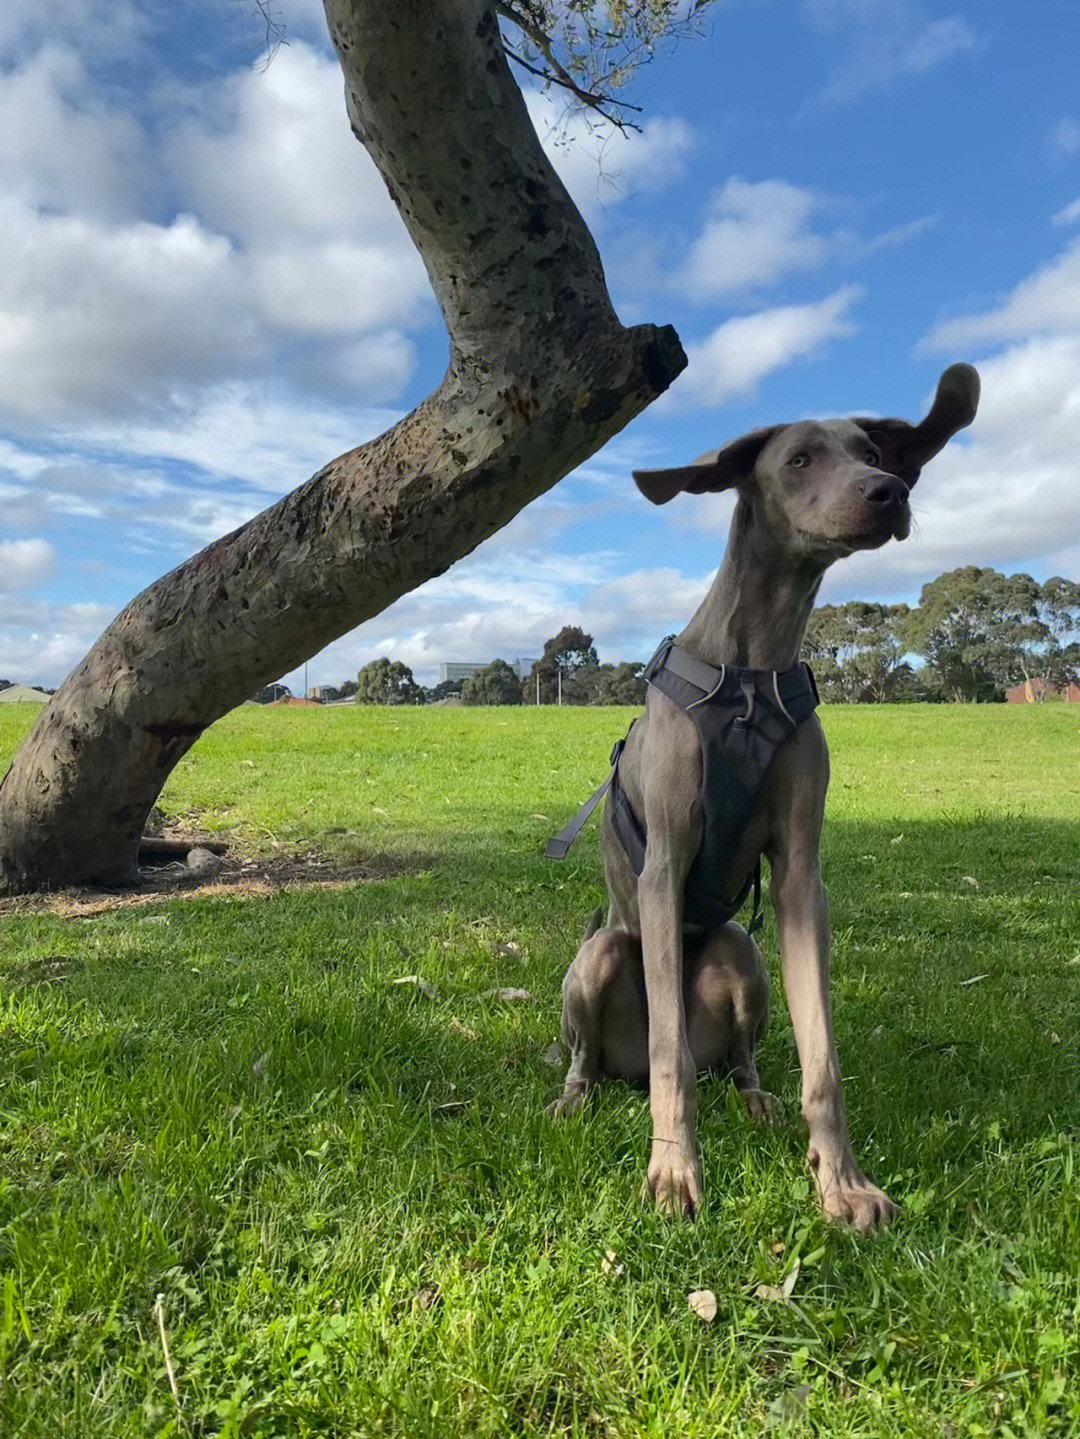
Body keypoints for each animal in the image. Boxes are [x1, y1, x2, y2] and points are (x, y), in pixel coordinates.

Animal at [552, 362, 983, 1226]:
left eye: (868, 451)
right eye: (799, 459)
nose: (889, 491)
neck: (753, 669)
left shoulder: (800, 878)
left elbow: (823, 1054)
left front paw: (842, 1180)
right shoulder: (663, 866)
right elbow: (670, 1055)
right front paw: (675, 1171)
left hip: (740, 955)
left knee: (737, 1060)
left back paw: (757, 1102)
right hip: (602, 955)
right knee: (614, 1053)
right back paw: (577, 1095)